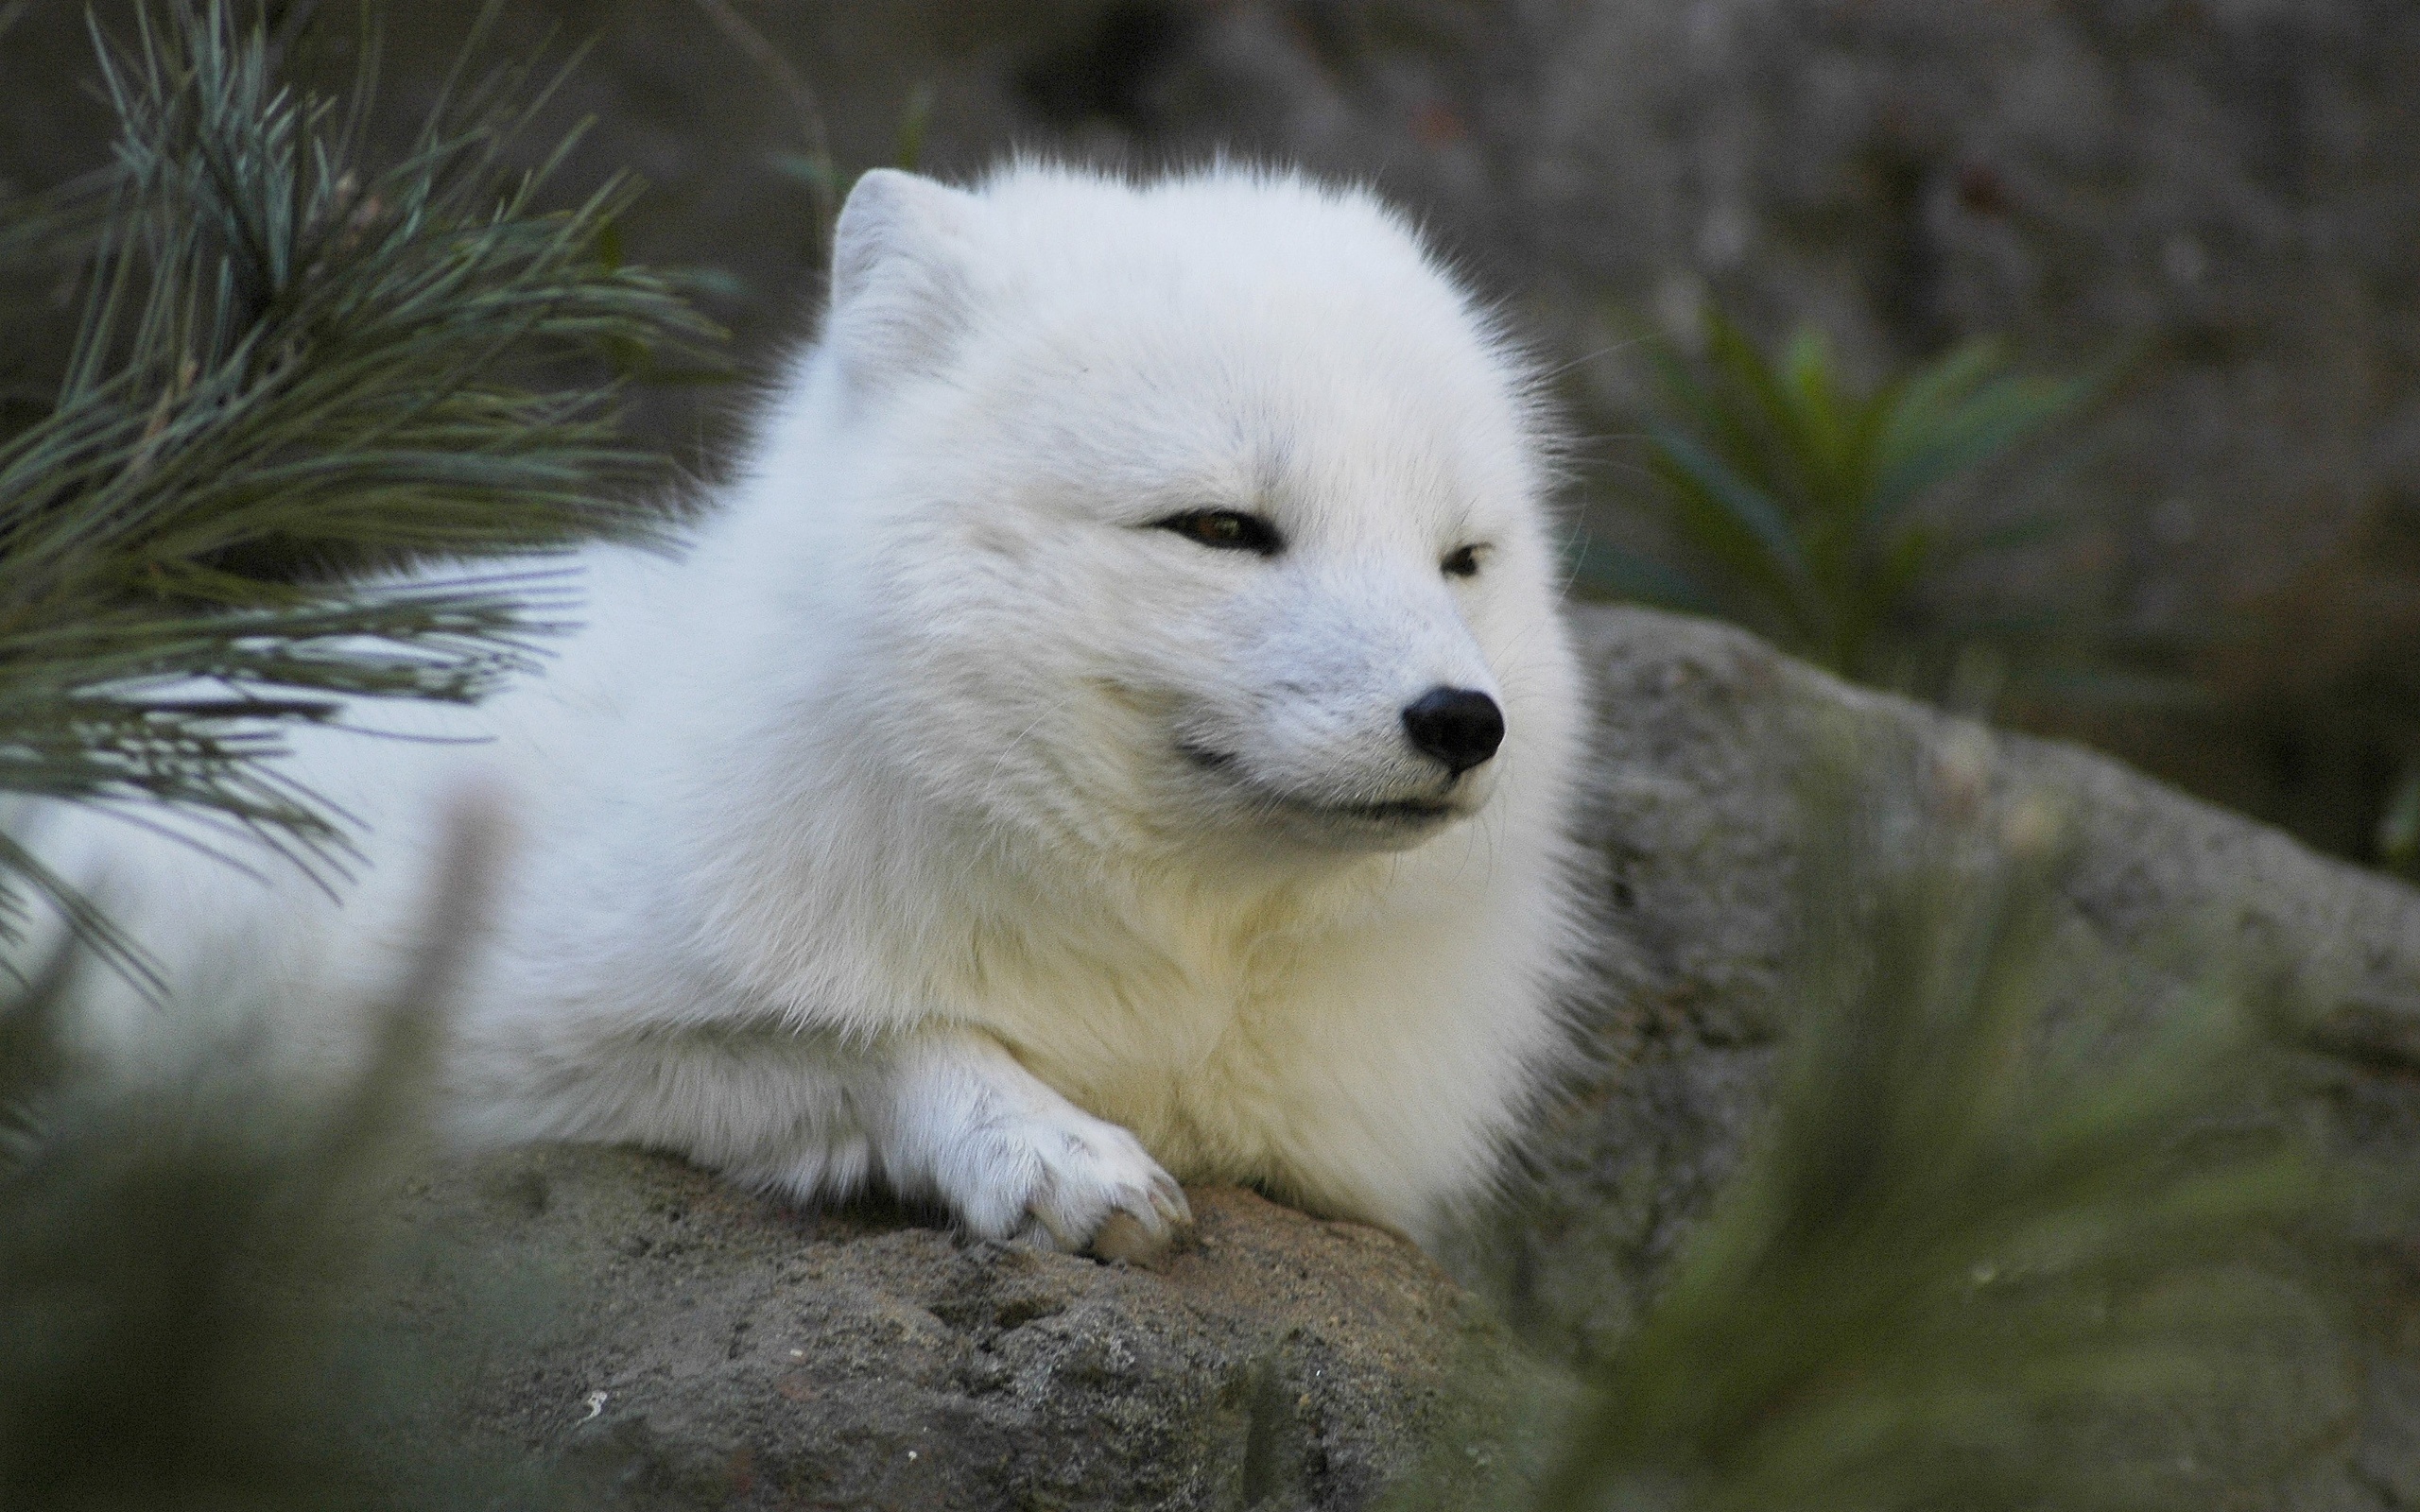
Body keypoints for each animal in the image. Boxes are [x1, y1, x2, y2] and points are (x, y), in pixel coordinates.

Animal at [35, 164, 1588, 1258]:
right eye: (1220, 528)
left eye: (1462, 559)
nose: (1463, 721)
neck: (1172, 974)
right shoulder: (493, 1046)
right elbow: (874, 1032)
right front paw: (1044, 1148)